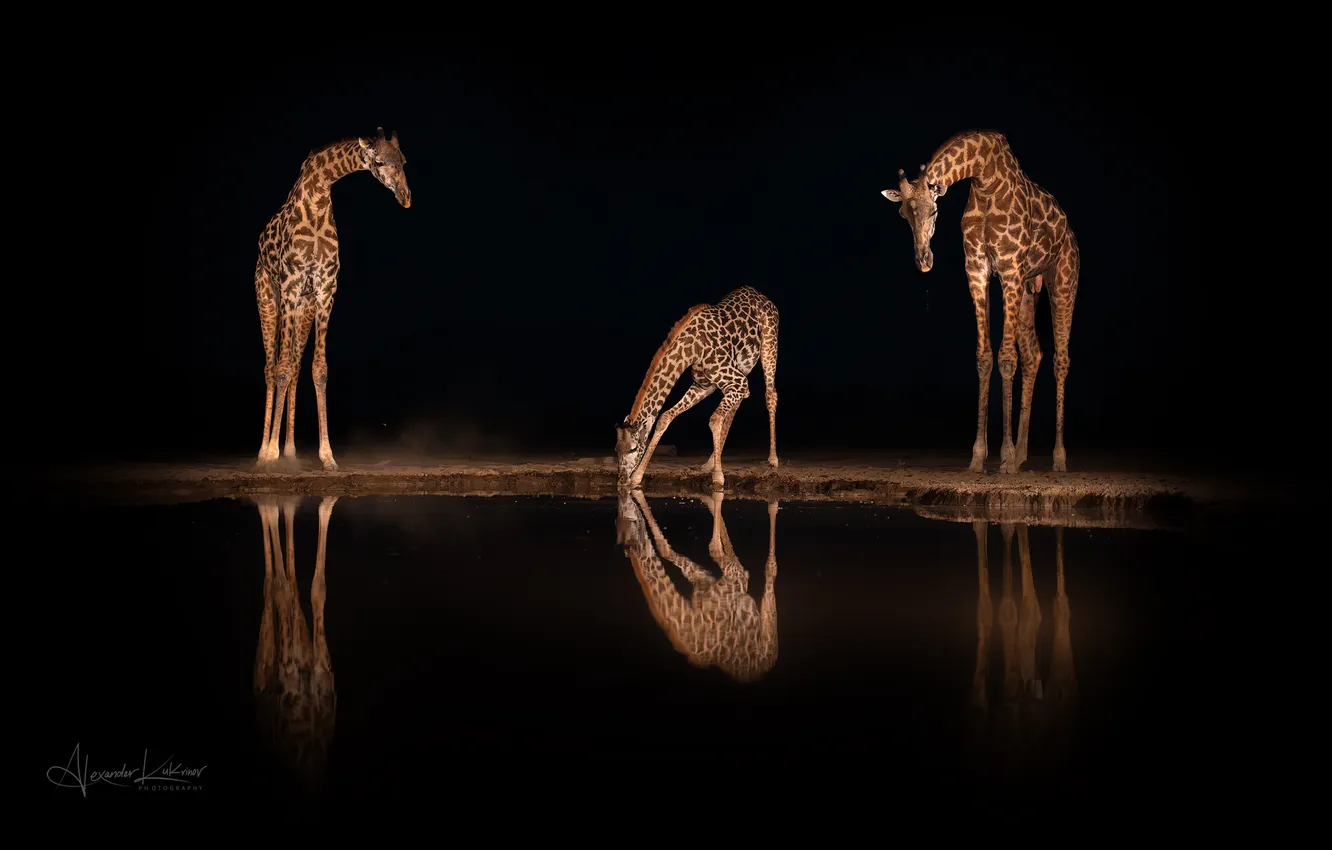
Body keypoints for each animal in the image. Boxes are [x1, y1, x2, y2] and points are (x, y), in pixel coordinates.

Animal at [255, 127, 411, 471]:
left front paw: (327, 456)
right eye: (379, 161)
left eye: (404, 160)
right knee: (272, 367)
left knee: (295, 364)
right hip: (269, 299)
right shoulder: (291, 284)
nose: (406, 197)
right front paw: (270, 455)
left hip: (304, 308)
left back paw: (290, 451)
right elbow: (281, 369)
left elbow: (319, 369)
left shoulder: (326, 289)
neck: (317, 198)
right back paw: (262, 452)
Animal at [614, 285, 780, 491]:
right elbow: (665, 417)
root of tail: (760, 295)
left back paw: (772, 460)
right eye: (616, 449)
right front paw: (637, 477)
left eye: (633, 448)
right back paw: (709, 462)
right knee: (738, 403)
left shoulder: (737, 380)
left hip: (769, 346)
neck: (691, 349)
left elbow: (714, 419)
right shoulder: (703, 385)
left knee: (770, 395)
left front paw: (718, 479)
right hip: (738, 374)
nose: (621, 479)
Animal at [616, 489, 779, 683]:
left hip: (768, 640)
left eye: (624, 509)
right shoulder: (703, 579)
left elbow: (716, 550)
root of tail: (764, 667)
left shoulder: (734, 579)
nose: (625, 492)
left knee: (771, 571)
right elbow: (666, 550)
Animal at [881, 130, 1081, 474]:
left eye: (934, 210)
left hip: (1063, 280)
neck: (985, 178)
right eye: (902, 214)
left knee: (1060, 359)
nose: (924, 261)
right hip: (1028, 288)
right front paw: (979, 457)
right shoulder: (977, 269)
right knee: (1034, 355)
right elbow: (985, 358)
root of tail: (1069, 233)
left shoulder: (1010, 266)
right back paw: (1023, 454)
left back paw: (1057, 458)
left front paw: (1005, 457)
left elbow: (1006, 358)